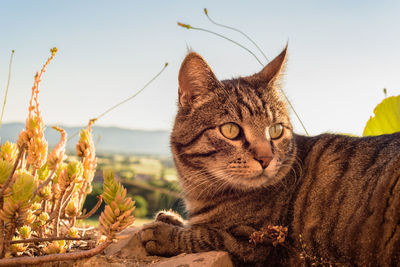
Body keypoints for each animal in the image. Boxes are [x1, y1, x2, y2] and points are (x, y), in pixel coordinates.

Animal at [140, 47, 400, 266]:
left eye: (275, 130)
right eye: (231, 130)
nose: (266, 158)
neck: (200, 193)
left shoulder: (260, 244)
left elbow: (207, 236)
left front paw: (165, 233)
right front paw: (170, 218)